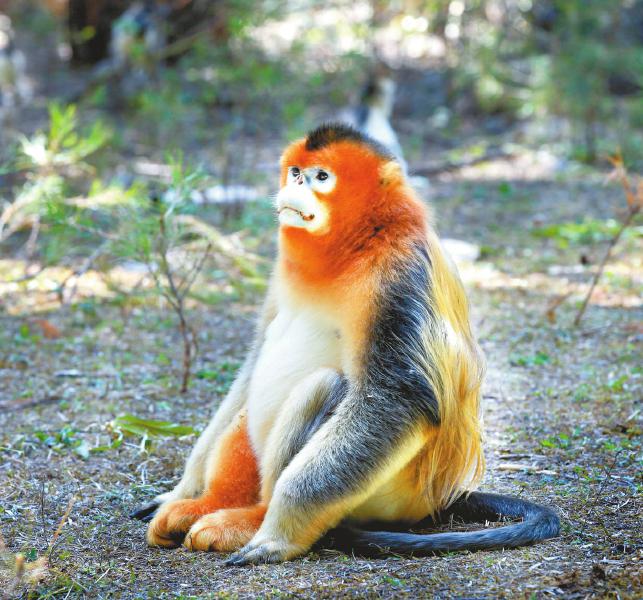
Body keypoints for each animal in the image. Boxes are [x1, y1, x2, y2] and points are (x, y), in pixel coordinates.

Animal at [132, 123, 559, 564]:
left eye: (321, 177)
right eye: (296, 173)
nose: (295, 186)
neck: (358, 243)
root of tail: (437, 497)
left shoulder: (398, 276)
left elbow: (397, 398)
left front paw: (276, 537)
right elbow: (251, 367)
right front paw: (179, 491)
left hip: (387, 496)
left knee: (325, 386)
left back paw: (253, 520)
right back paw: (204, 504)